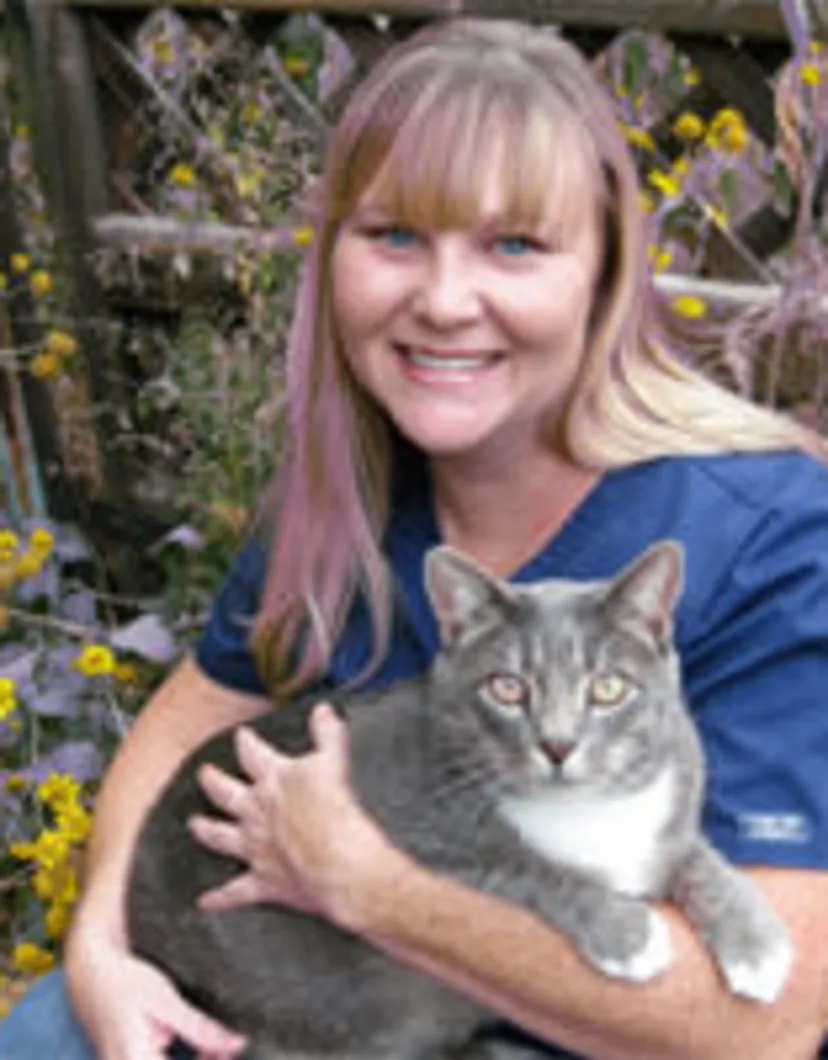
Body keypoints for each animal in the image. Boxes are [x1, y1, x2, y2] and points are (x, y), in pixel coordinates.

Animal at [127, 542, 788, 1055]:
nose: (557, 744)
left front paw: (757, 943)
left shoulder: (671, 797)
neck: (586, 807)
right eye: (507, 687)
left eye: (607, 688)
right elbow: (527, 866)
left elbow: (696, 853)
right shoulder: (407, 816)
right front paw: (626, 932)